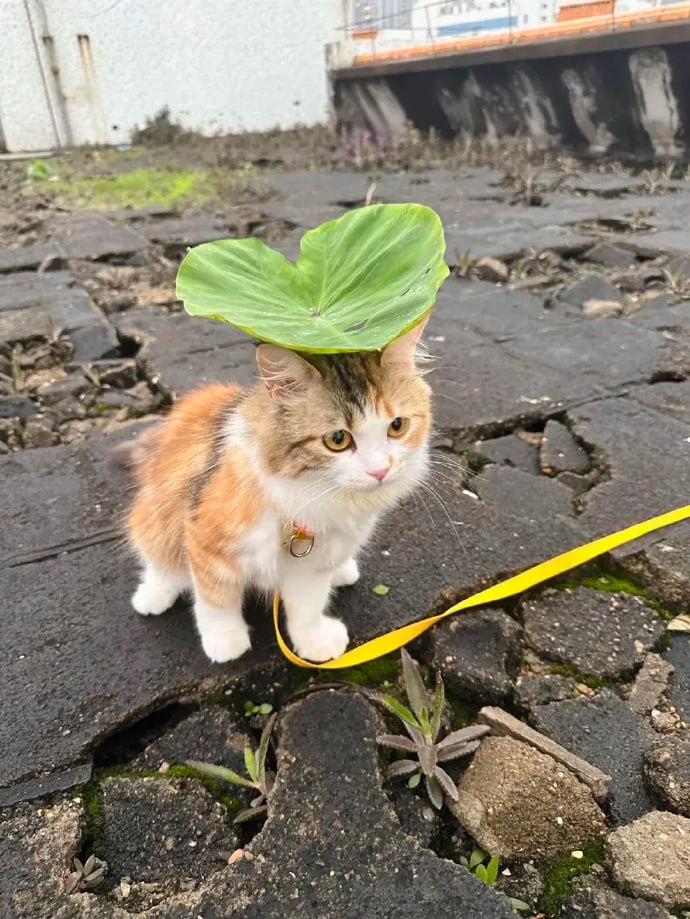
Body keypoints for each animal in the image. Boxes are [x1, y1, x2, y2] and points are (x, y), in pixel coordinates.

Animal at [118, 320, 430, 664]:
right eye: (337, 439)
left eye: (397, 426)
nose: (380, 471)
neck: (309, 497)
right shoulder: (206, 544)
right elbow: (216, 601)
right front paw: (225, 641)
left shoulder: (312, 562)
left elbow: (307, 608)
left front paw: (313, 642)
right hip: (155, 515)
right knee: (159, 558)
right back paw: (153, 595)